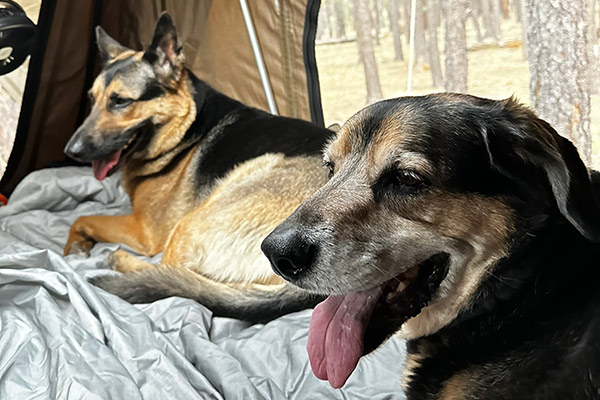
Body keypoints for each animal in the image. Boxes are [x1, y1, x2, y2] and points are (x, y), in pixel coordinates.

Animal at [62, 13, 330, 322]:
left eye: (120, 101)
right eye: (92, 100)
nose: (70, 151)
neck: (187, 125)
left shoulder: (144, 232)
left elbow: (82, 218)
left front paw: (72, 247)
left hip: (192, 221)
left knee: (169, 271)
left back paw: (120, 261)